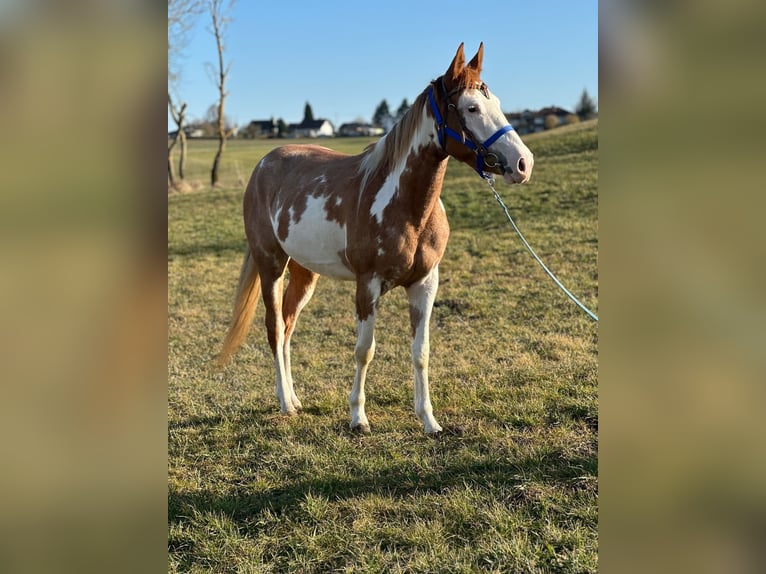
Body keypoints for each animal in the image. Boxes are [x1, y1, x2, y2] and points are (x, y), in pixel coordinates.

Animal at [219, 42, 536, 434]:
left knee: (289, 327)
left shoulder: (425, 284)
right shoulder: (367, 285)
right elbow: (364, 350)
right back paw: (285, 403)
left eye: (498, 103)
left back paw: (294, 398)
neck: (404, 206)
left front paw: (429, 420)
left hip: (305, 273)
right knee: (275, 328)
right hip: (271, 266)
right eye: (471, 108)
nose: (523, 163)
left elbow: (421, 353)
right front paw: (358, 417)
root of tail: (264, 164)